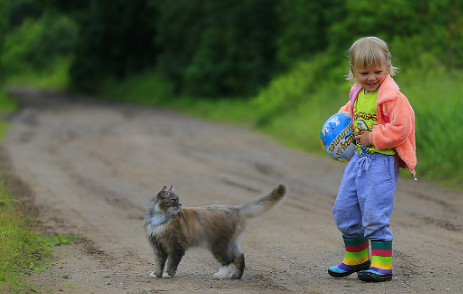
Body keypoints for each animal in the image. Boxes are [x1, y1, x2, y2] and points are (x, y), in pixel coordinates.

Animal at [144, 183, 286, 280]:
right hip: (229, 243)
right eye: (174, 200)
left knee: (228, 260)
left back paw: (220, 275)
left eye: (178, 200)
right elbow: (159, 262)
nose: (180, 205)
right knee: (239, 256)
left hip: (217, 245)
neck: (159, 218)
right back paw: (236, 276)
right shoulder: (157, 246)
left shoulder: (176, 246)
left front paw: (167, 274)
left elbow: (171, 263)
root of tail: (234, 208)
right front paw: (157, 274)